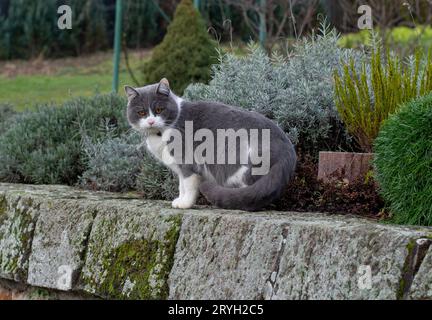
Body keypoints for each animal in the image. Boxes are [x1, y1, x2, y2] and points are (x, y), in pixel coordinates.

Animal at [123, 78, 296, 211]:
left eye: (159, 109)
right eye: (141, 113)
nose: (151, 121)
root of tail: (288, 150)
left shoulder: (187, 164)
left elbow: (189, 186)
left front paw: (185, 204)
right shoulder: (179, 169)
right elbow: (181, 186)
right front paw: (179, 200)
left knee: (250, 192)